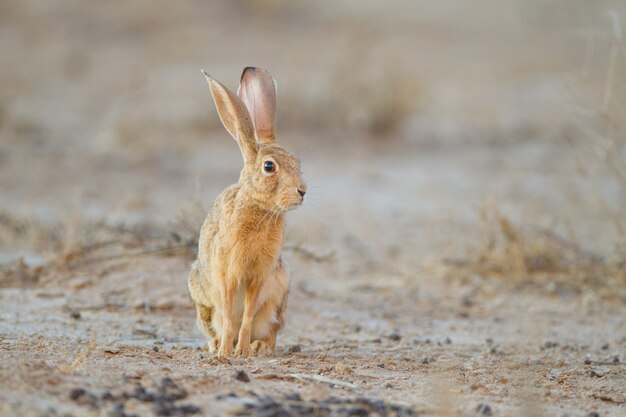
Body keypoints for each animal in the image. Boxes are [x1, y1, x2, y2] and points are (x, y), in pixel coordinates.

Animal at [185, 66, 304, 356]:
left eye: (297, 163)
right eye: (269, 167)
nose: (302, 191)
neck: (258, 207)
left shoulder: (259, 275)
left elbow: (248, 313)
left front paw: (242, 351)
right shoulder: (227, 272)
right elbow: (230, 314)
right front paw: (226, 352)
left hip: (279, 296)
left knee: (271, 330)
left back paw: (259, 346)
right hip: (202, 300)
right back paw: (216, 345)